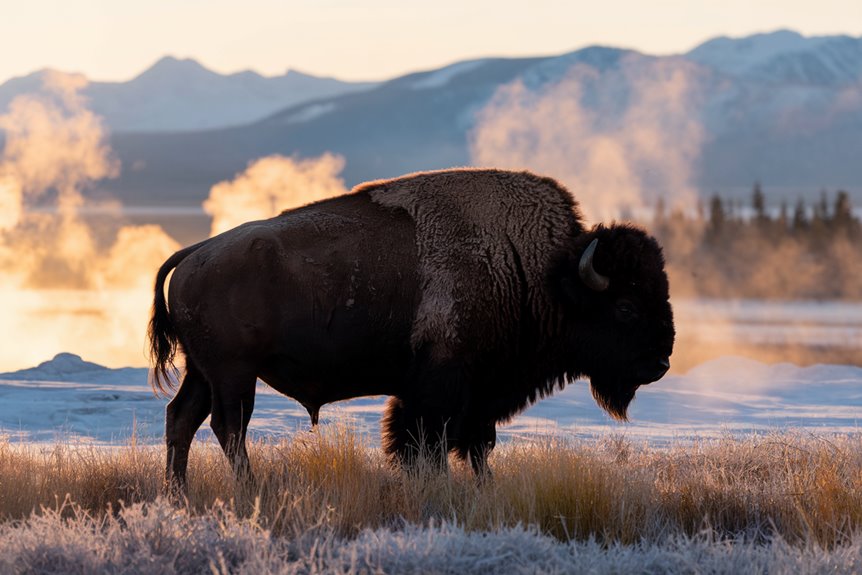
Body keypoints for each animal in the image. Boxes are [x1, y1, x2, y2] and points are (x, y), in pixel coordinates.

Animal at [147, 169, 676, 488]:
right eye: (626, 307)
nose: (661, 361)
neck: (538, 272)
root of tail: (194, 253)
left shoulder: (476, 393)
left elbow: (476, 446)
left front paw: (482, 489)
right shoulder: (442, 386)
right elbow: (428, 443)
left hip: (204, 372)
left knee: (182, 419)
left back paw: (179, 494)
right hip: (234, 373)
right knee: (227, 427)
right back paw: (248, 489)